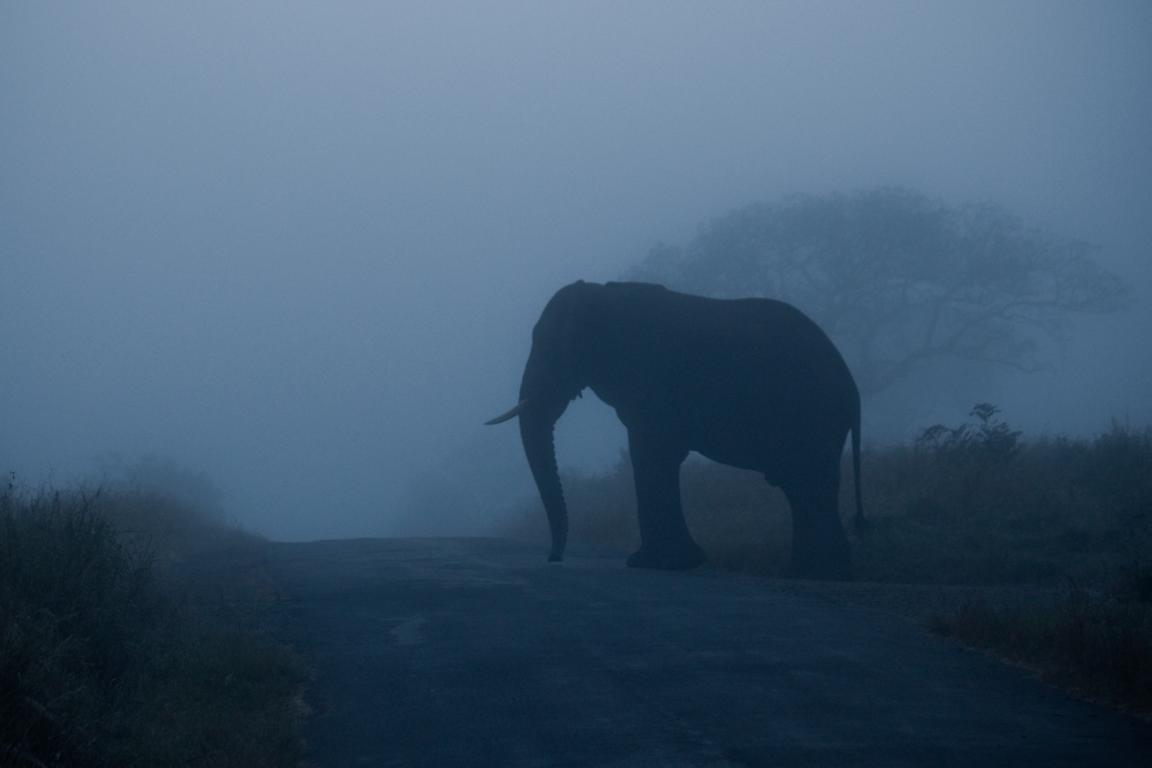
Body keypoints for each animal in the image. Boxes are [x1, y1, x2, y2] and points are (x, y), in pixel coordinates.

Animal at [486, 279, 866, 580]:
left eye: (547, 345)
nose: (554, 558)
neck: (602, 293)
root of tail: (853, 388)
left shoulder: (650, 373)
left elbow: (651, 452)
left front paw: (652, 564)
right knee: (802, 486)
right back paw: (813, 572)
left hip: (813, 414)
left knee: (808, 482)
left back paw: (817, 572)